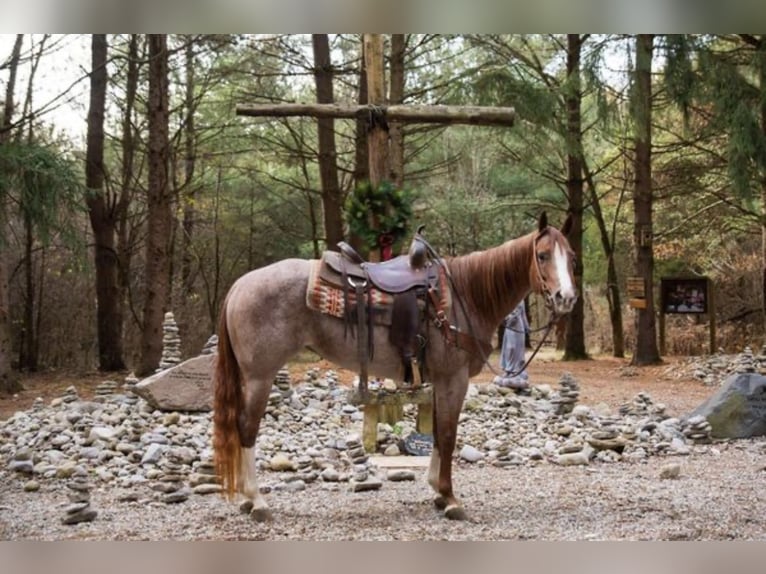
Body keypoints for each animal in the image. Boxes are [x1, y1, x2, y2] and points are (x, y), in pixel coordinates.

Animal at [210, 212, 576, 520]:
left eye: (571, 257)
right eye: (542, 255)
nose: (566, 298)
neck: (465, 296)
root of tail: (239, 285)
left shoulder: (440, 382)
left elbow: (438, 433)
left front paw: (437, 492)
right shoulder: (453, 378)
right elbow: (448, 434)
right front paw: (450, 498)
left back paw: (246, 499)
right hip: (260, 376)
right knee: (247, 429)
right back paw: (256, 501)